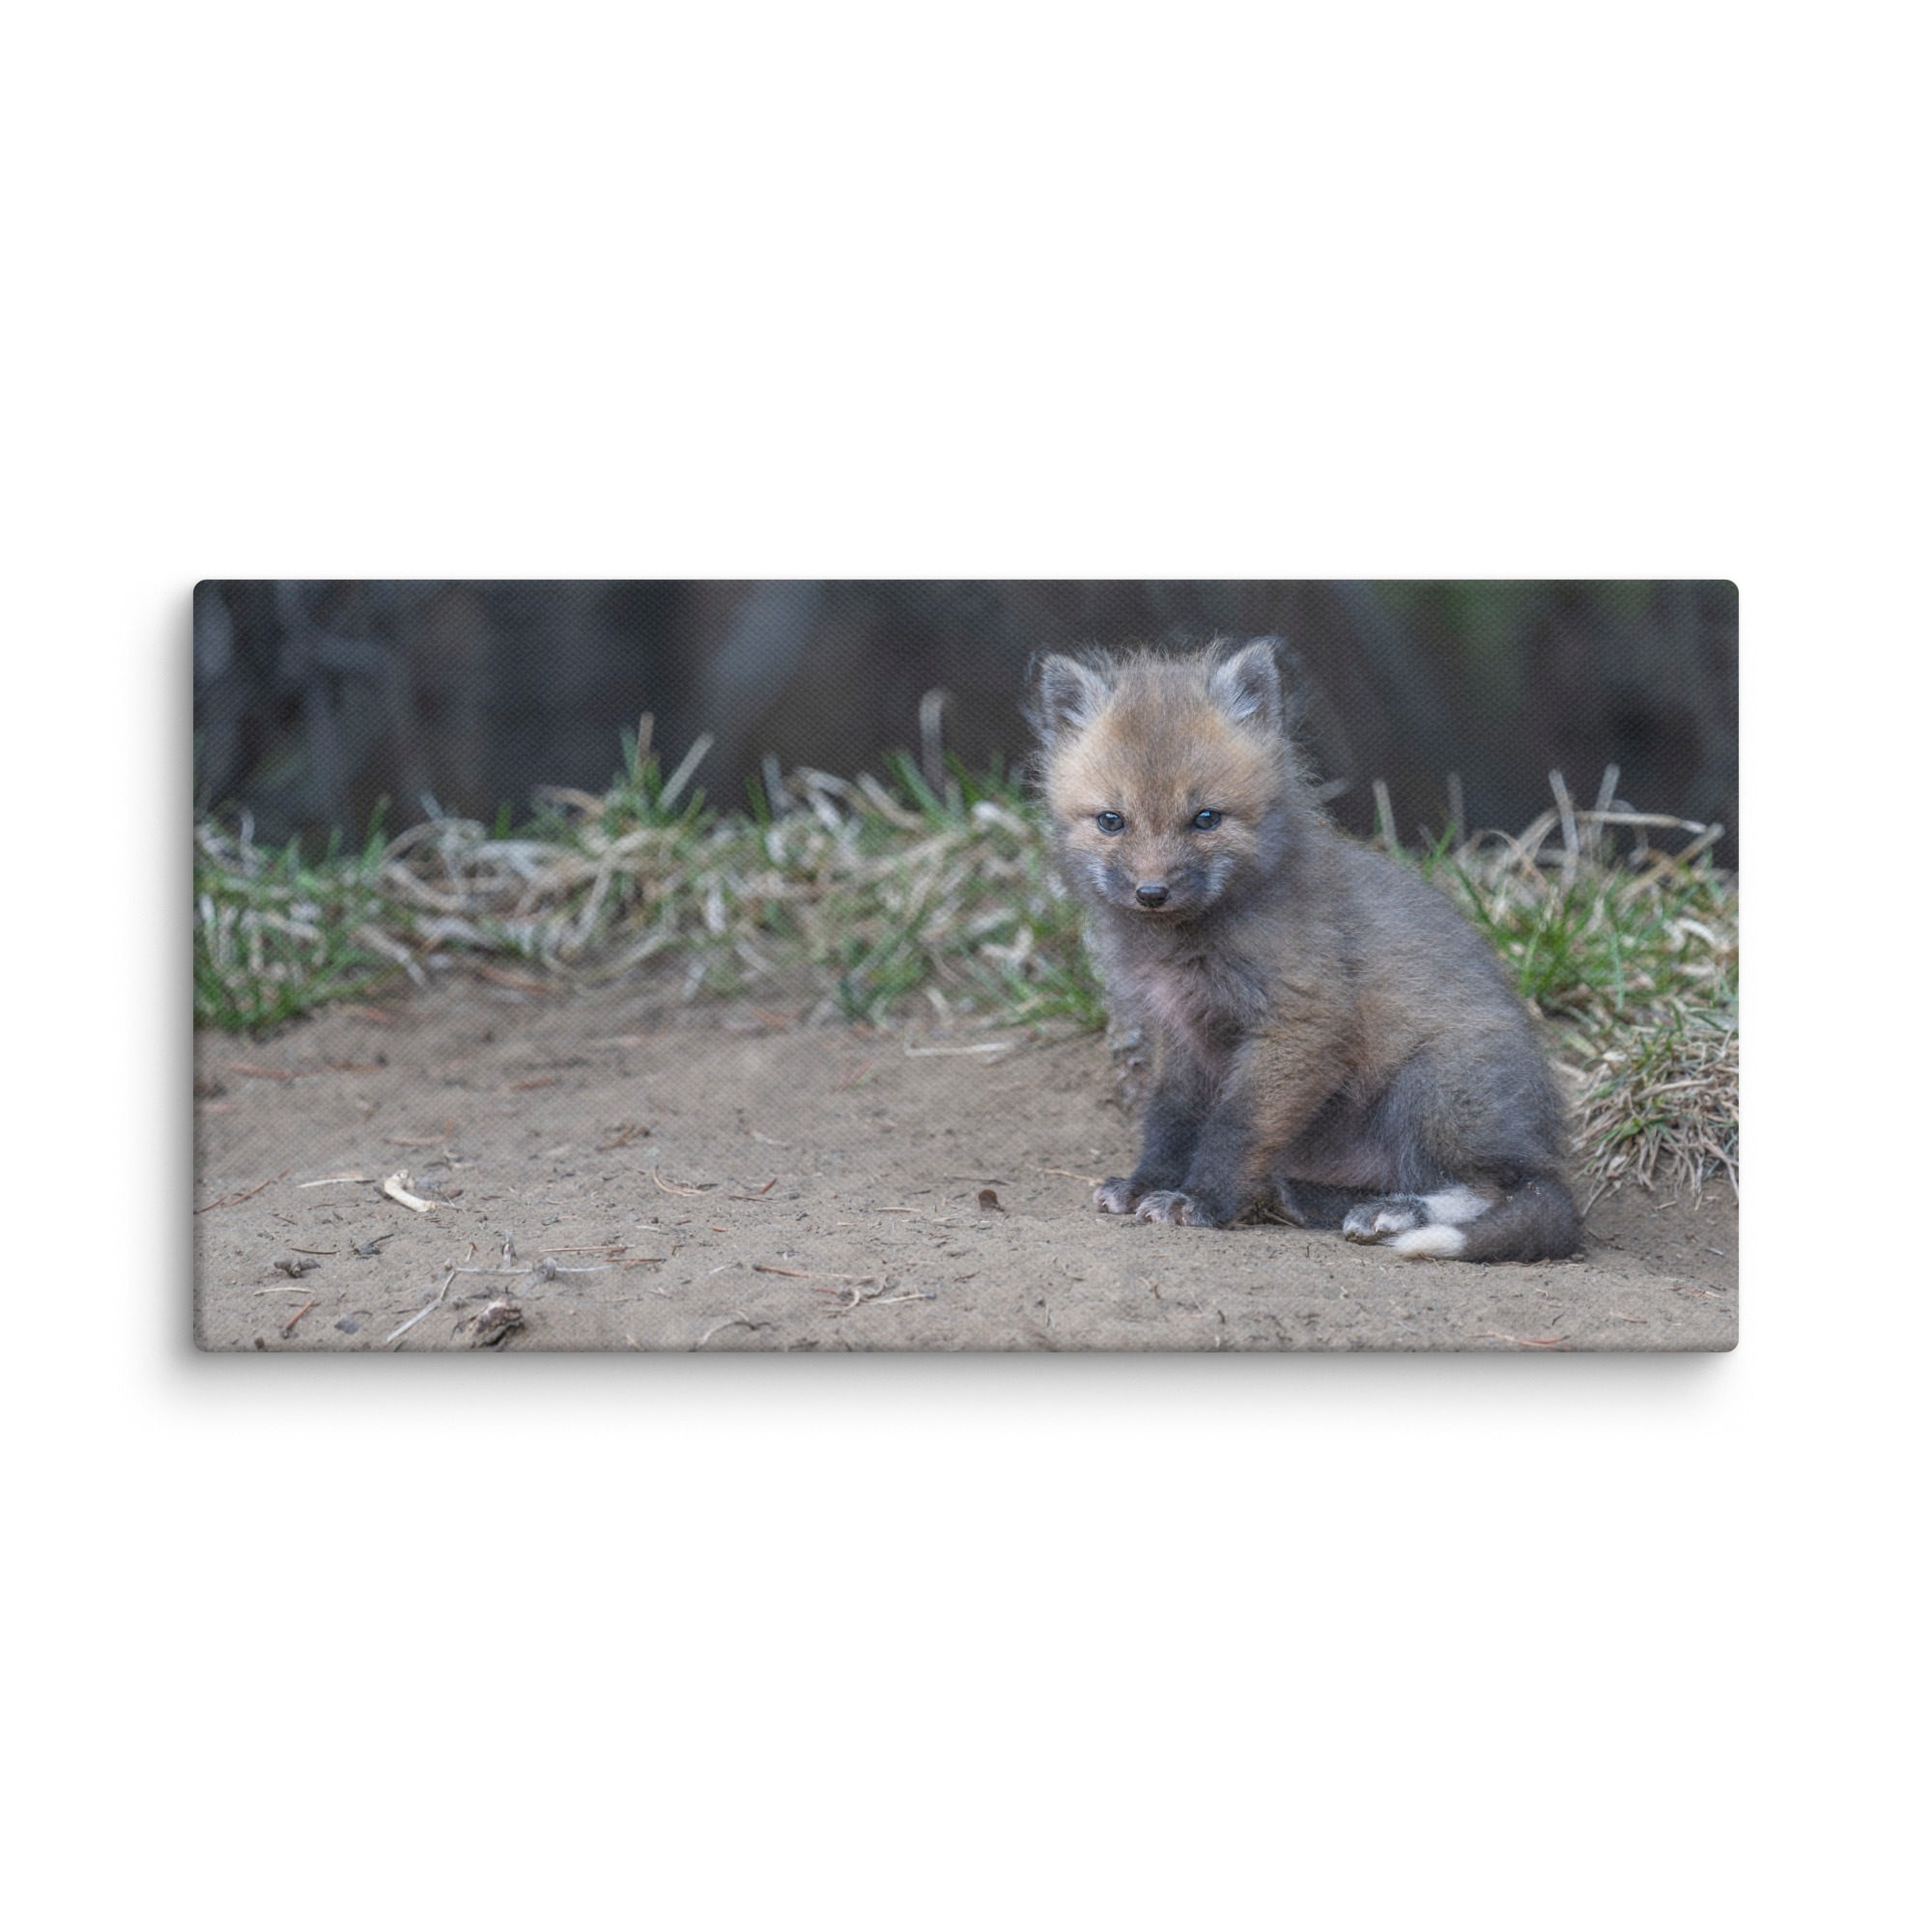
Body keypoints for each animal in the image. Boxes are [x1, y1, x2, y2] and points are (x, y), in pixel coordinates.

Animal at [1025, 637, 1582, 1263]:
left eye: (1206, 819)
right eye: (1111, 821)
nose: (1152, 893)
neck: (1187, 945)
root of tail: (1542, 1145)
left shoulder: (1302, 1020)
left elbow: (1235, 1126)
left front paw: (1202, 1201)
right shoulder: (1182, 1032)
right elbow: (1170, 1120)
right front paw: (1148, 1184)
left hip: (1431, 1086)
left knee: (1497, 1189)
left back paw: (1394, 1213)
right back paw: (1308, 1198)